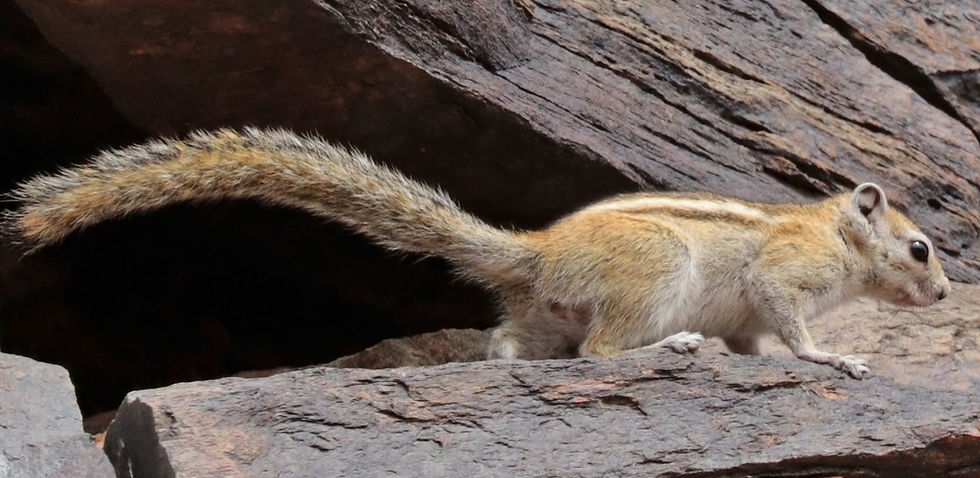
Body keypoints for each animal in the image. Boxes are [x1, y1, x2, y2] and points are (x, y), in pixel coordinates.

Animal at [2, 127, 951, 379]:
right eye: (919, 249)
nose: (946, 297)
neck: (834, 231)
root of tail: (535, 252)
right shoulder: (782, 281)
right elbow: (793, 331)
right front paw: (836, 358)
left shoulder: (751, 316)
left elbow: (757, 343)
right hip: (655, 278)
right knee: (600, 352)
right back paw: (672, 346)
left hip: (543, 312)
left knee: (510, 343)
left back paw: (502, 367)